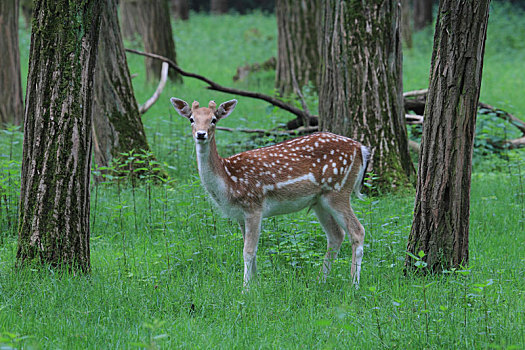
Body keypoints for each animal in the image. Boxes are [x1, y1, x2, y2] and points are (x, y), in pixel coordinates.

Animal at [171, 97, 368, 288]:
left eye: (213, 119)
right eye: (191, 119)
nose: (201, 134)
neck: (228, 181)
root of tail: (361, 148)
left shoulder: (254, 206)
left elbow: (248, 251)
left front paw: (245, 289)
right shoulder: (240, 215)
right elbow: (251, 250)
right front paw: (257, 285)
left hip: (338, 190)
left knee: (357, 231)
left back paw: (353, 285)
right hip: (319, 201)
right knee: (336, 235)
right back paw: (320, 281)